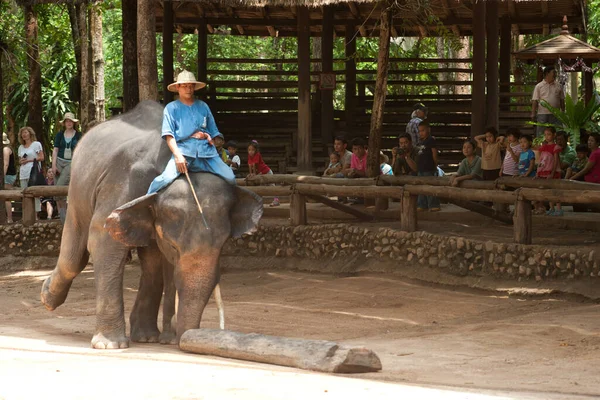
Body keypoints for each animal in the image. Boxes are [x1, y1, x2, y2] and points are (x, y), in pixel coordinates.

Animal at [39, 101, 260, 350]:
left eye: (222, 246)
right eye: (174, 247)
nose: (185, 340)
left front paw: (167, 338)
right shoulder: (123, 182)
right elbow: (103, 239)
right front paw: (110, 345)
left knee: (151, 262)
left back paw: (147, 336)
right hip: (78, 188)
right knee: (75, 256)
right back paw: (46, 296)